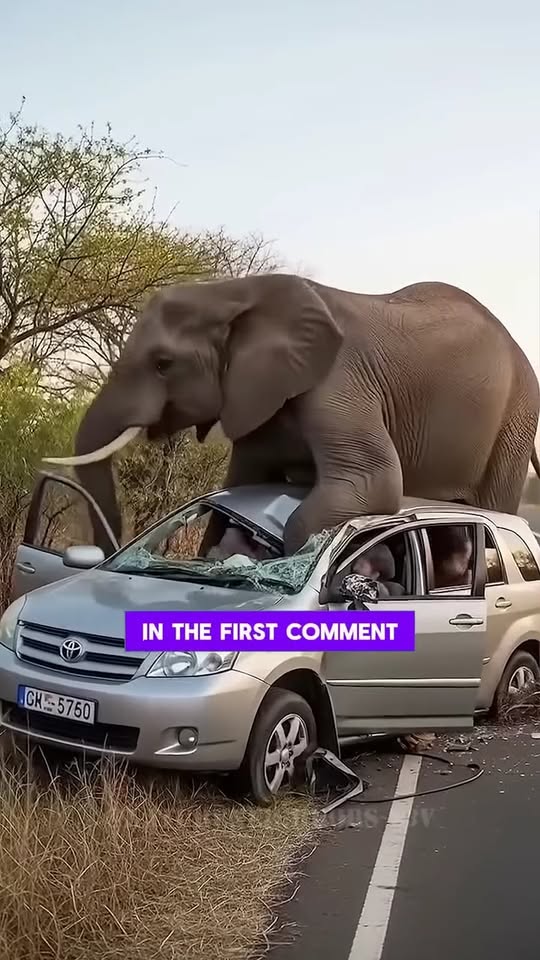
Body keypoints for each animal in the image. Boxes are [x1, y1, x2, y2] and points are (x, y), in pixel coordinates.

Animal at [45, 273, 540, 556]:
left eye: (163, 364)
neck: (233, 292)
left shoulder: (339, 382)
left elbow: (373, 481)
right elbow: (237, 488)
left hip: (515, 417)